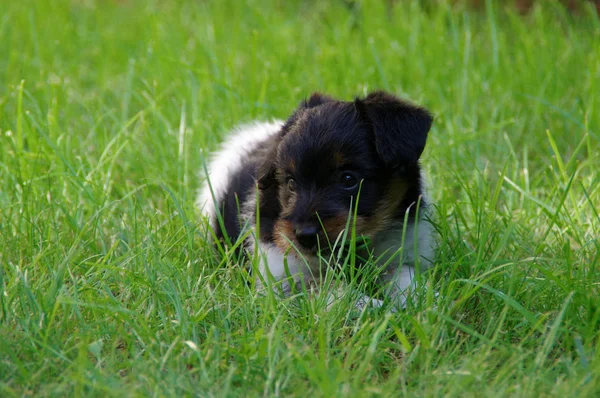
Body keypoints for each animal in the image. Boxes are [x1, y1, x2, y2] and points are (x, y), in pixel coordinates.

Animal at [197, 91, 436, 310]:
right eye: (291, 183)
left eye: (348, 178)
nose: (304, 235)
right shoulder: (282, 276)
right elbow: (329, 289)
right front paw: (369, 305)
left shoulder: (403, 251)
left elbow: (405, 276)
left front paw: (424, 301)